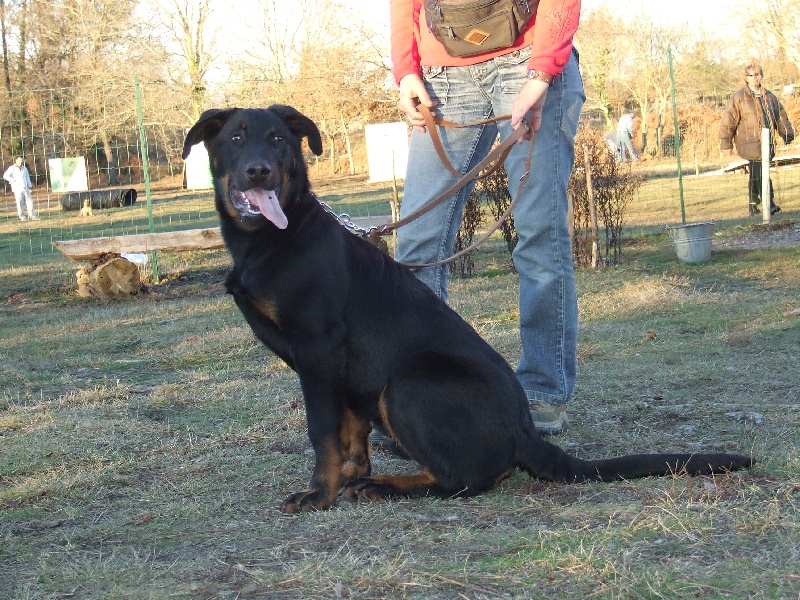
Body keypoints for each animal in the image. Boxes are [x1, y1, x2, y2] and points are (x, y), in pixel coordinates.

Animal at [183, 105, 756, 512]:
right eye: (235, 138)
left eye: (280, 139)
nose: (258, 172)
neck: (274, 236)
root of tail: (525, 432)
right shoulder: (343, 373)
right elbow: (350, 437)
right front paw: (348, 476)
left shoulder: (319, 353)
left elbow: (323, 434)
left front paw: (318, 495)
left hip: (407, 381)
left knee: (463, 481)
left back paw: (386, 486)